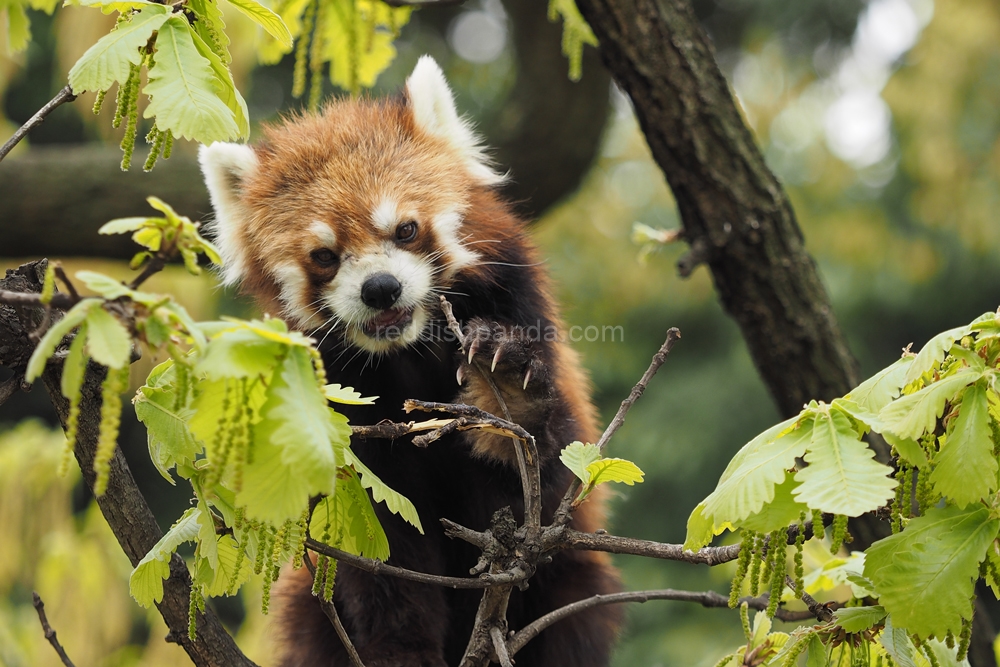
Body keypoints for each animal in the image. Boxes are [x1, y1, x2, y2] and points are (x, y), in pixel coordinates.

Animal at [199, 56, 620, 667]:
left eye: (405, 229)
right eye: (324, 256)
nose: (380, 288)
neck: (410, 352)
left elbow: (542, 485)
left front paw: (509, 397)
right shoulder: (347, 420)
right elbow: (381, 550)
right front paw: (400, 650)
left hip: (574, 587)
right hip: (308, 609)